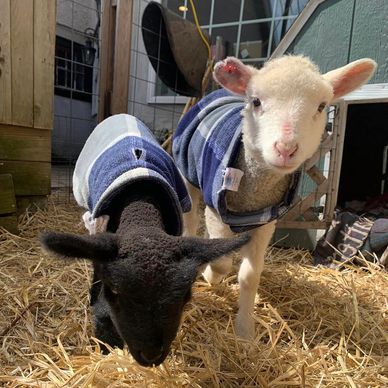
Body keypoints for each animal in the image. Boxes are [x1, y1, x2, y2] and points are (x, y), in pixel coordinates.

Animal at [172, 55, 376, 340]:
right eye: (256, 101)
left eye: (321, 106)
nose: (286, 149)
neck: (255, 188)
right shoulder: (216, 212)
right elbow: (222, 263)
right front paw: (211, 276)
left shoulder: (266, 221)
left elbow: (250, 275)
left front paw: (245, 333)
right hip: (187, 175)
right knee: (190, 218)